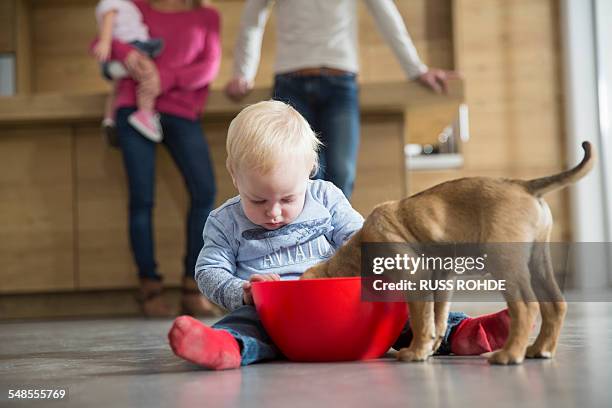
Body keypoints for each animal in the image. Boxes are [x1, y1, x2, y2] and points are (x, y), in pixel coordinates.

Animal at [304, 142, 596, 364]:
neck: (360, 245)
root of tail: (524, 185)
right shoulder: (441, 278)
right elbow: (437, 316)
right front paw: (430, 346)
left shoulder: (416, 277)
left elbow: (421, 318)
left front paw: (416, 352)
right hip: (537, 260)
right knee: (555, 305)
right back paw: (540, 349)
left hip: (504, 262)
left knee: (526, 307)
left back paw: (509, 354)